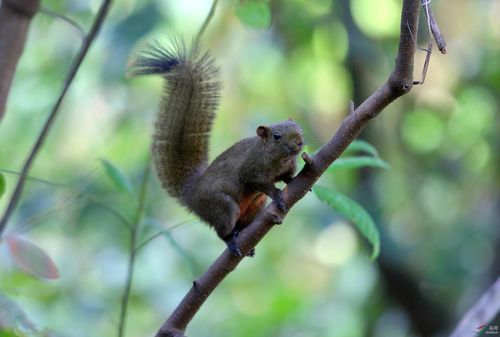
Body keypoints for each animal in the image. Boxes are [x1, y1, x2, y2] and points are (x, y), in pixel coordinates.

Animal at [132, 40, 304, 256]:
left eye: (300, 128)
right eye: (277, 136)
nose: (299, 143)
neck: (278, 159)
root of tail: (192, 194)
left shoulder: (287, 167)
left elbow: (287, 176)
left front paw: (295, 181)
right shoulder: (251, 168)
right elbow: (257, 181)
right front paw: (277, 194)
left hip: (254, 207)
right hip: (222, 207)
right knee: (221, 230)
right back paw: (230, 241)